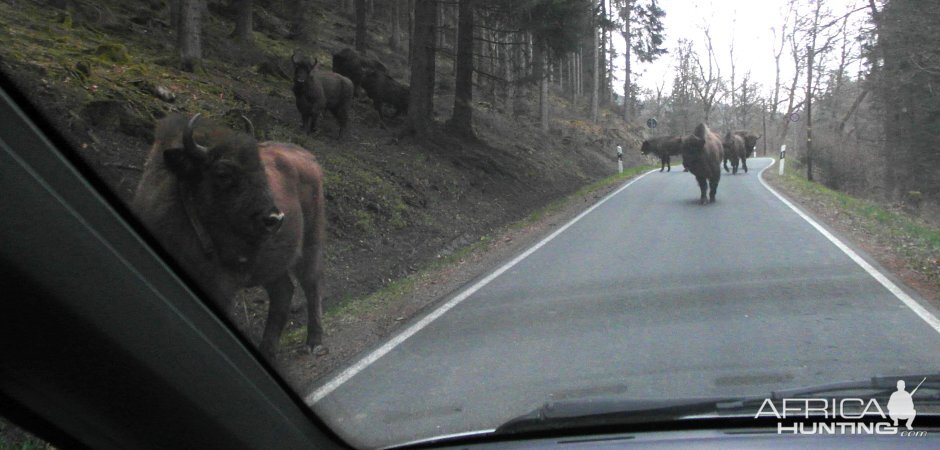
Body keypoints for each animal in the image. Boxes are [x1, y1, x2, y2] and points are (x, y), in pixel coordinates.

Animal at [133, 113, 326, 358]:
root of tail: (308, 157)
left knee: (311, 284)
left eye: (260, 167)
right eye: (223, 173)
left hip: (310, 243)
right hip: (272, 265)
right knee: (283, 291)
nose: (275, 218)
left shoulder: (222, 285)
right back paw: (268, 349)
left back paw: (314, 342)